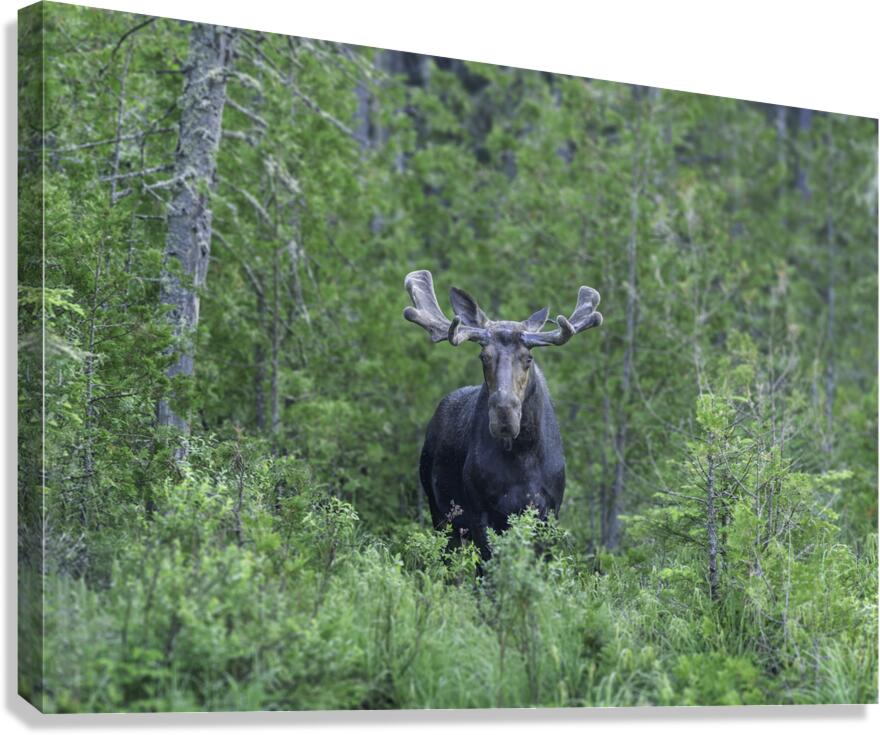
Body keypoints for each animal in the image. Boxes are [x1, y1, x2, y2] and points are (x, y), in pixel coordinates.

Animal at [403, 270, 603, 559]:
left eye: (528, 358)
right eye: (483, 356)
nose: (504, 414)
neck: (523, 454)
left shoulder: (550, 511)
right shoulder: (479, 511)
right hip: (439, 512)